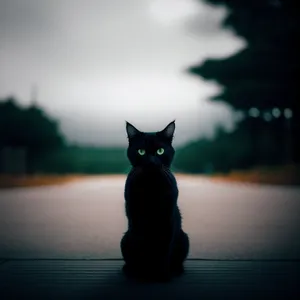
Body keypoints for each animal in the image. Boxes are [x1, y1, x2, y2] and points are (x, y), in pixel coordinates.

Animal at [120, 119, 189, 282]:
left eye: (160, 151)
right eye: (141, 152)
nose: (151, 161)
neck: (151, 186)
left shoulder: (167, 220)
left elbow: (163, 252)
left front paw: (162, 276)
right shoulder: (136, 220)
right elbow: (140, 249)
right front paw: (141, 274)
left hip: (184, 238)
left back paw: (177, 270)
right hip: (125, 239)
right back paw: (129, 269)